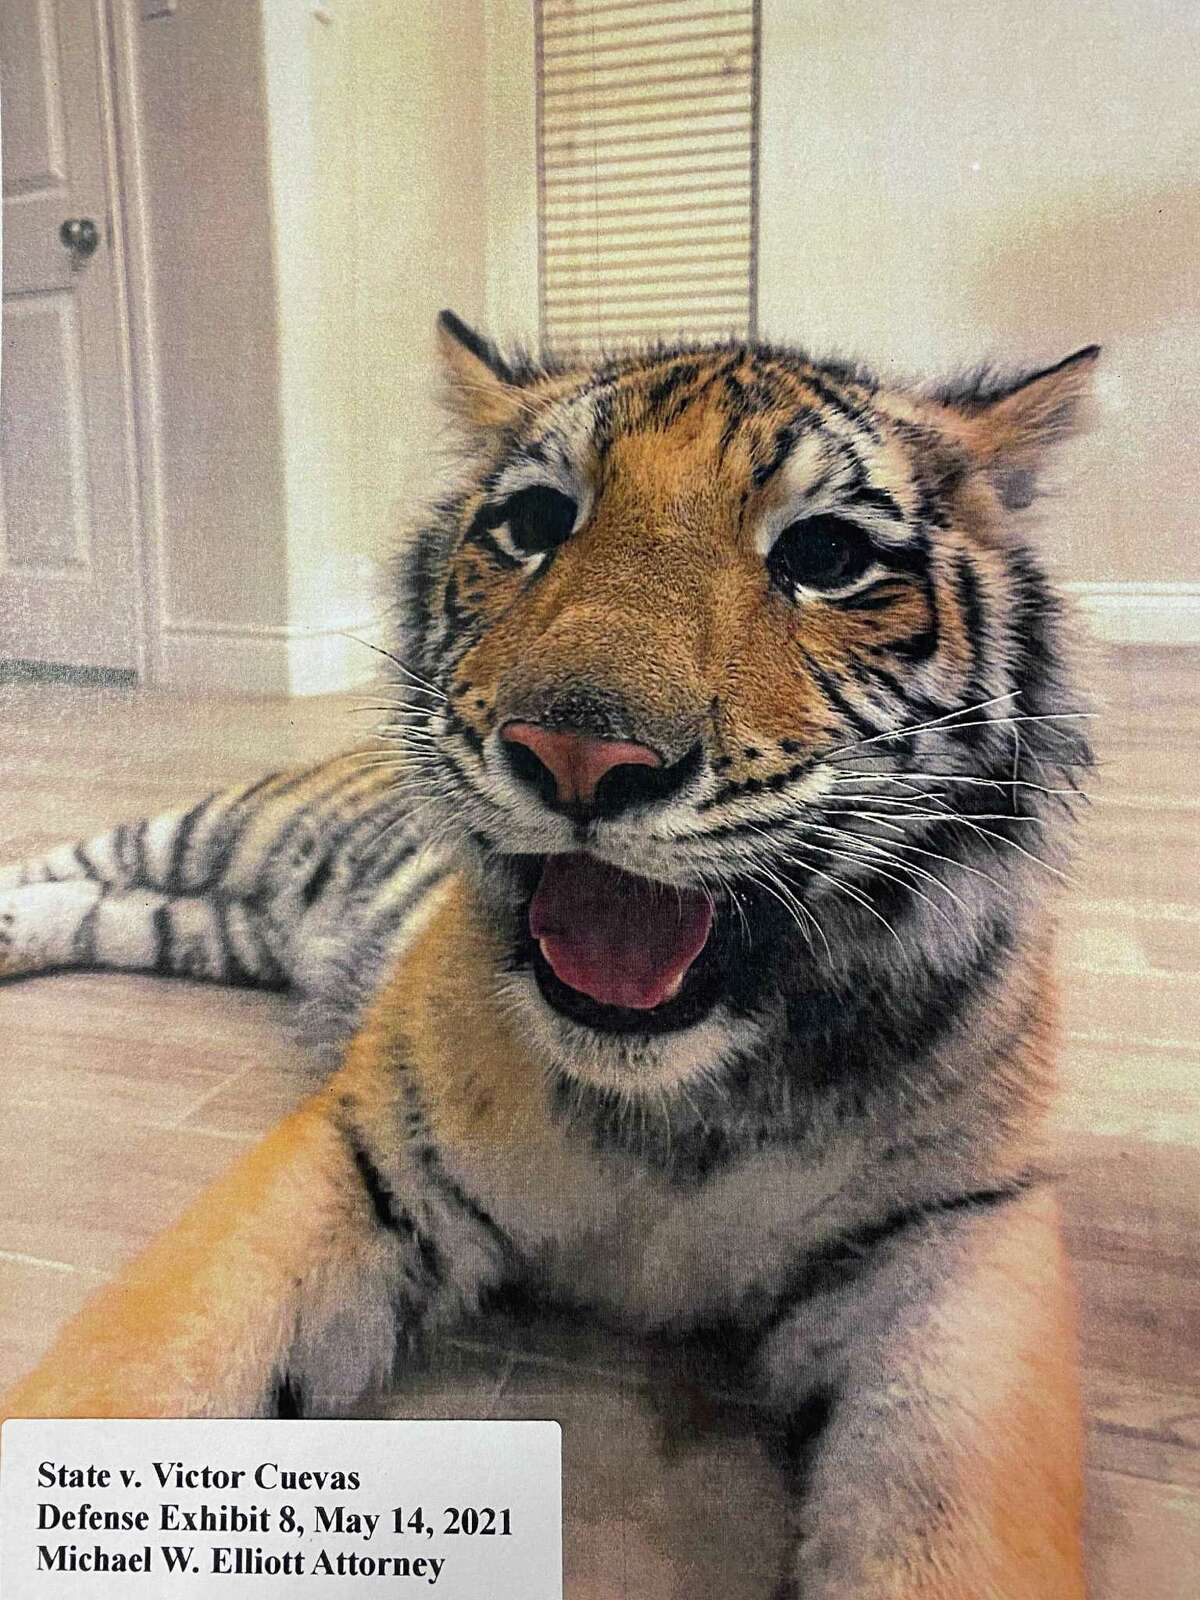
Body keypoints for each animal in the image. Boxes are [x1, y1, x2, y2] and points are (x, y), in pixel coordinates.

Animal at [0, 310, 1097, 1599]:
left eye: (825, 554)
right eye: (533, 523)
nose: (578, 754)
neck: (681, 1100)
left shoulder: (954, 1238)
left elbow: (951, 1524)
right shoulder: (371, 1147)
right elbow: (140, 1368)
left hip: (206, 920)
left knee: (103, 901)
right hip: (217, 831)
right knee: (75, 854)